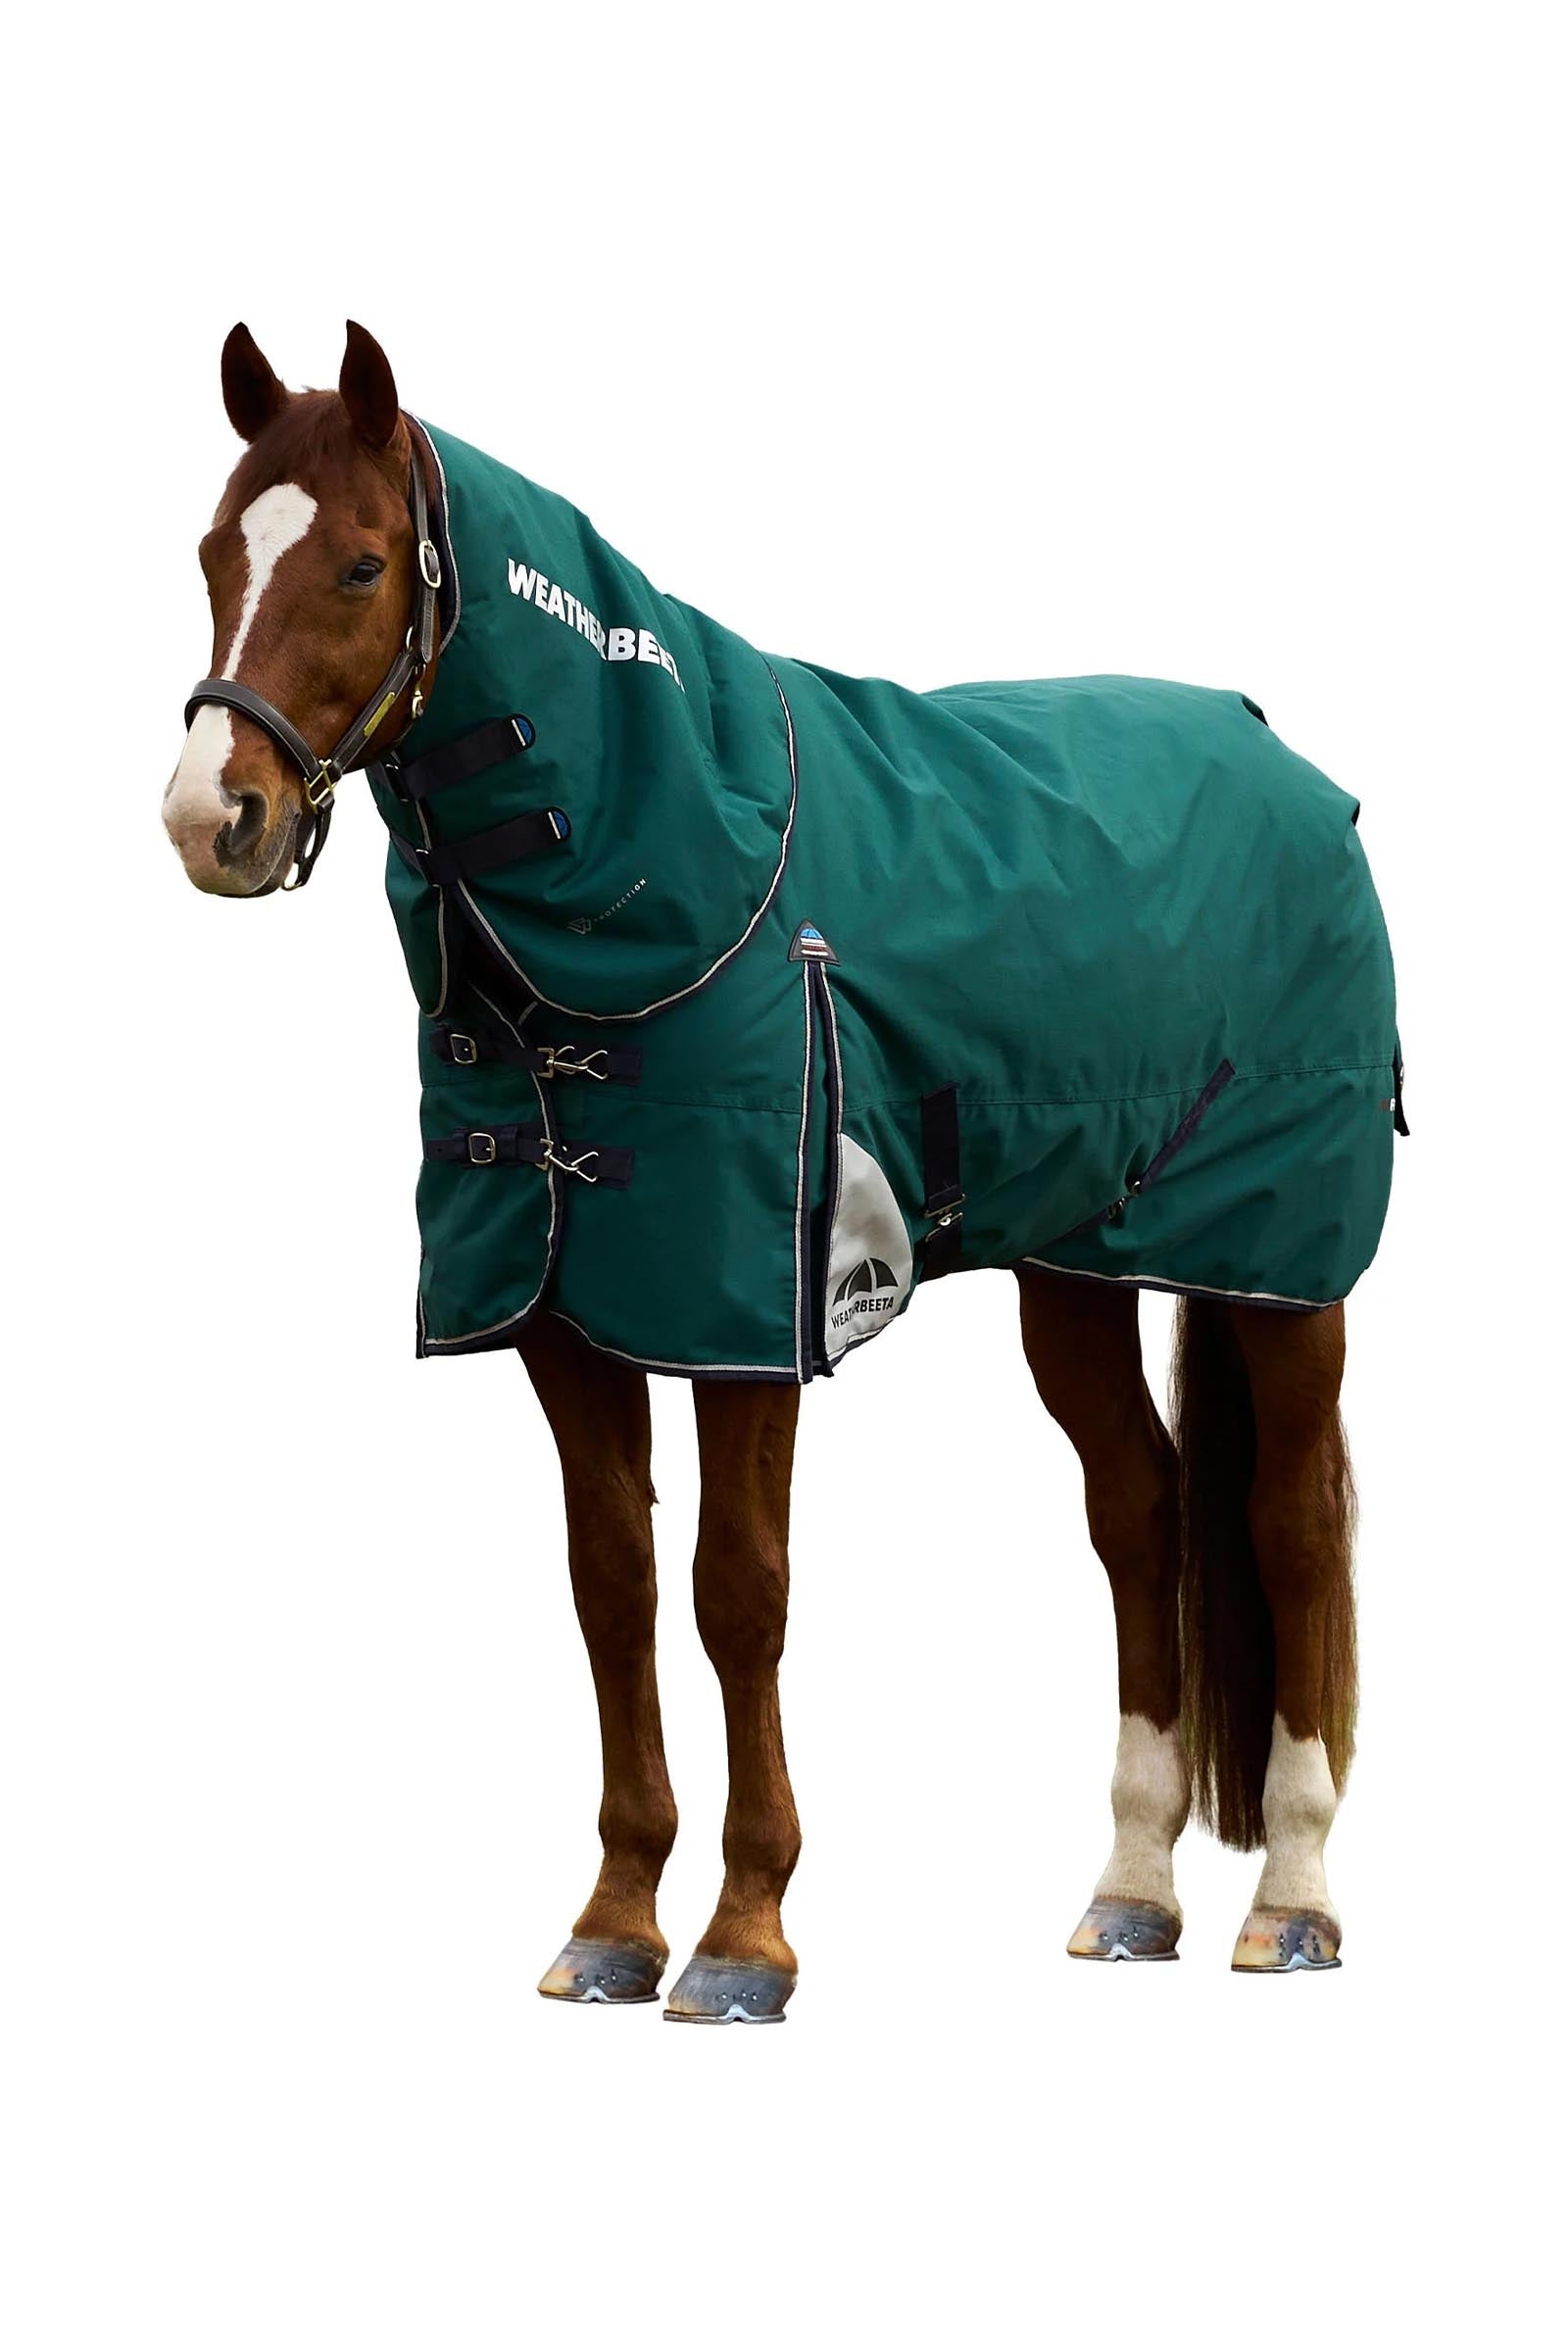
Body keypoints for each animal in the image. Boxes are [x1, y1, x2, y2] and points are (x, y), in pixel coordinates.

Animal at [163, 320, 1397, 2018]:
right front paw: (616, 1923)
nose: (210, 818)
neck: (673, 855)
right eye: (215, 553)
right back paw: (1133, 1894)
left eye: (358, 565)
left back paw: (1293, 1902)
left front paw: (744, 1938)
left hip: (1283, 1271)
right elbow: (612, 1585)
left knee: (1290, 1527)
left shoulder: (745, 1309)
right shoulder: (568, 1313)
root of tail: (1288, 763)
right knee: (1141, 1512)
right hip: (1079, 1267)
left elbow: (737, 1593)